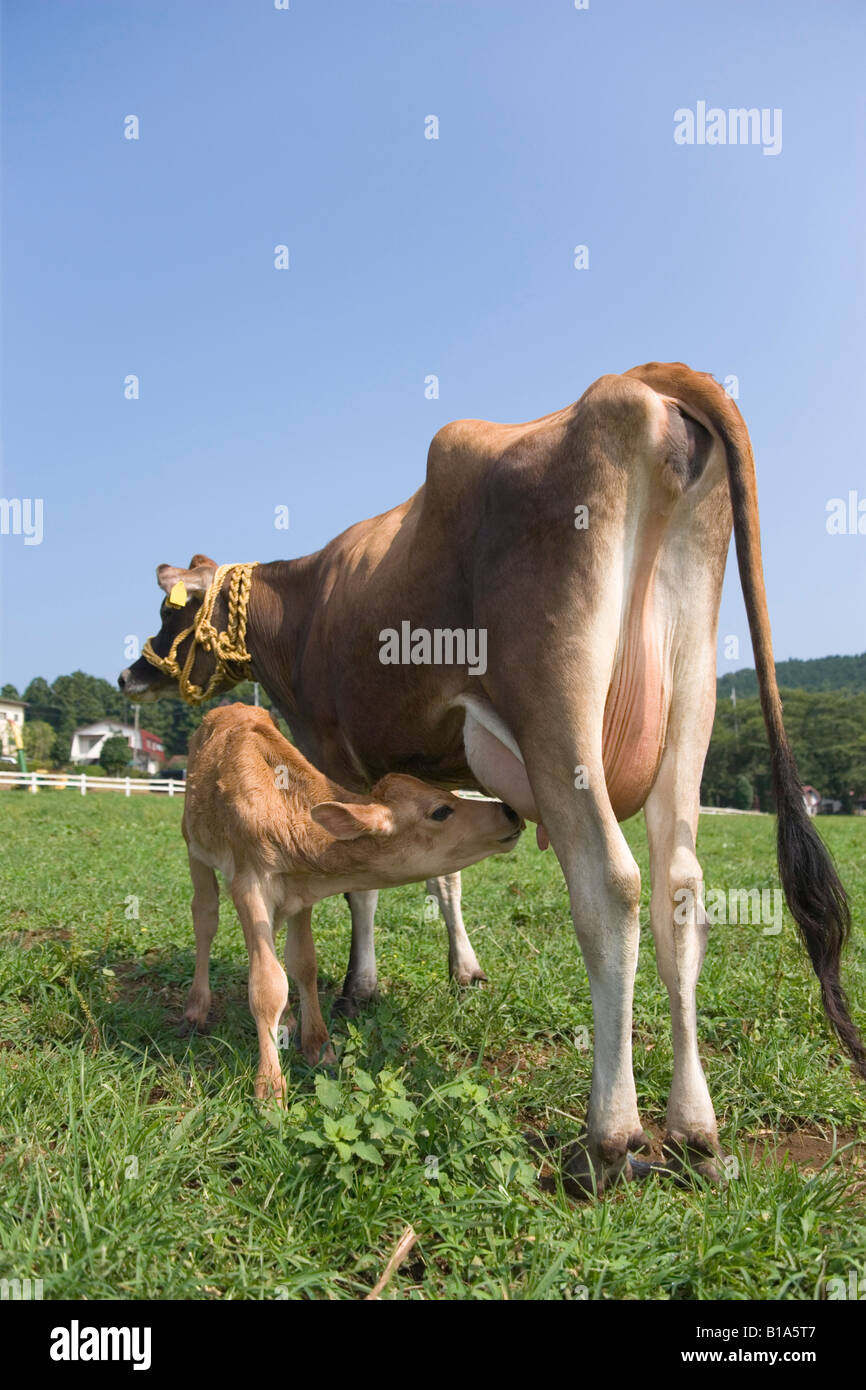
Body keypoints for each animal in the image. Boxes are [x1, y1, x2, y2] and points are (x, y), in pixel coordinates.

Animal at [180, 706, 525, 1095]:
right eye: (440, 811)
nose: (510, 811)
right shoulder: (249, 884)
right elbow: (267, 984)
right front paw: (270, 1087)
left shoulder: (300, 892)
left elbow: (303, 963)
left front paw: (318, 1046)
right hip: (194, 846)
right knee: (205, 918)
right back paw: (196, 1008)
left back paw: (287, 1020)